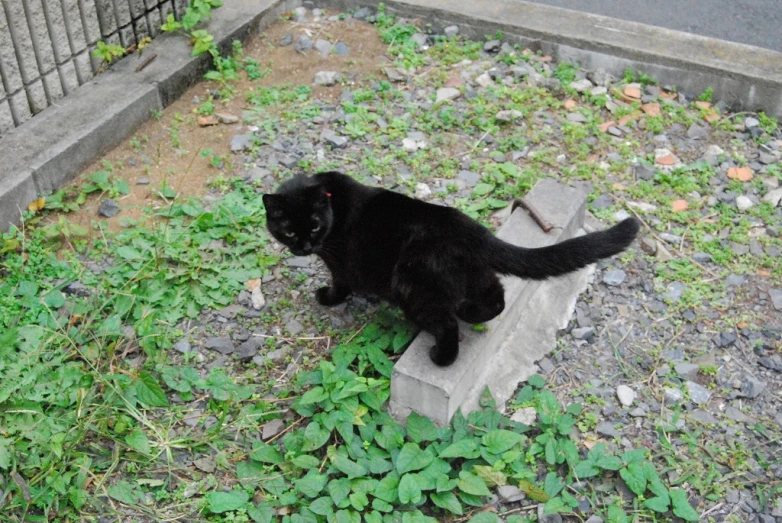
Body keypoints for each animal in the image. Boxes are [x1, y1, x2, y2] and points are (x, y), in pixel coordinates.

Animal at [264, 174, 644, 366]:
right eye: (289, 231)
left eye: (314, 226)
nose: (303, 247)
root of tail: (470, 229)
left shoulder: (339, 263)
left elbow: (340, 284)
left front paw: (326, 297)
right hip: (473, 275)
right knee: (496, 297)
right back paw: (469, 311)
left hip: (412, 287)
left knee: (446, 324)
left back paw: (441, 355)